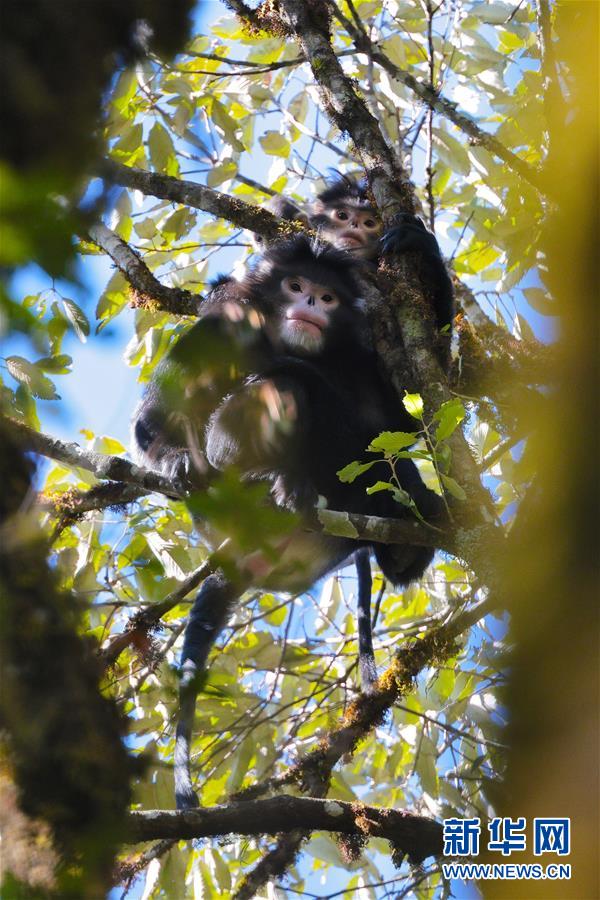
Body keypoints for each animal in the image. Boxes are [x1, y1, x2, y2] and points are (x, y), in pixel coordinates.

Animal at [131, 234, 440, 808]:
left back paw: (407, 533)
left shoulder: (360, 352)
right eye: (295, 286)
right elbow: (153, 419)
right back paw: (274, 479)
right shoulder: (228, 318)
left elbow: (406, 420)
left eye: (328, 296)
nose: (312, 302)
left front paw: (418, 247)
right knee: (288, 382)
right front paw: (173, 458)